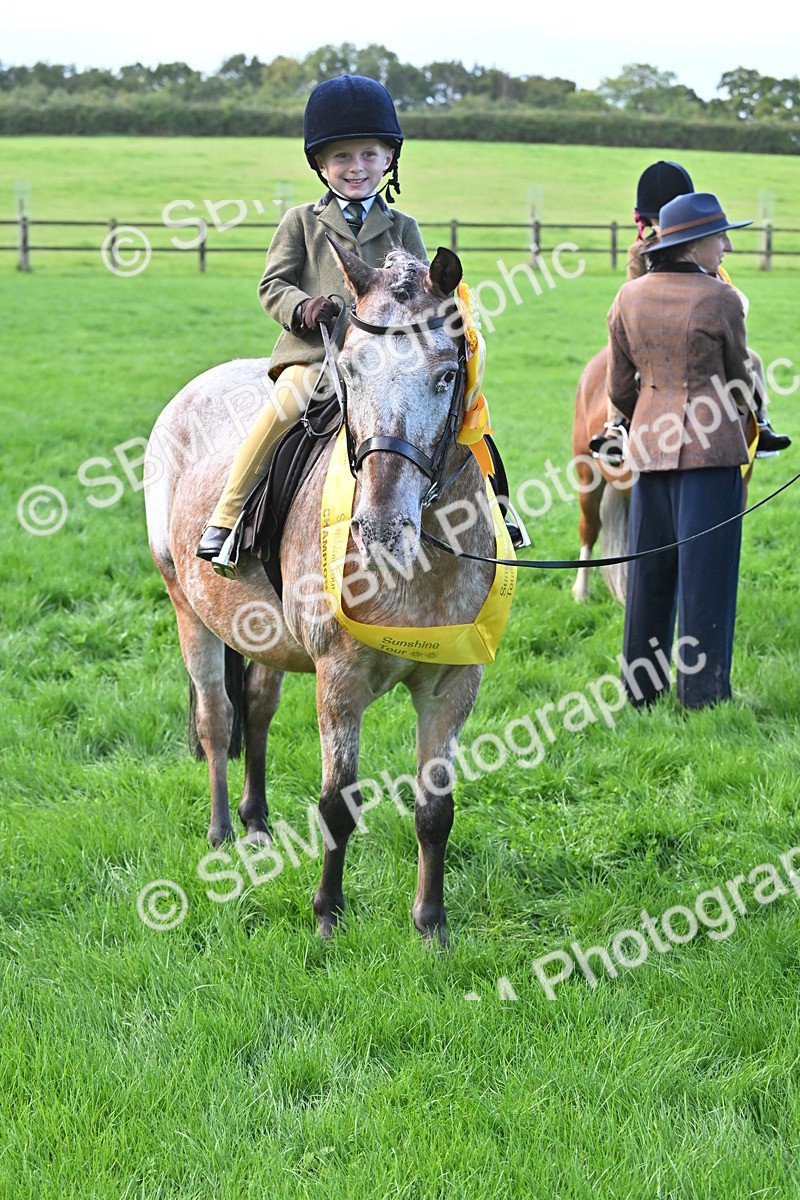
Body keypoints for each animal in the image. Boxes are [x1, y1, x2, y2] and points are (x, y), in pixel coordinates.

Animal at [143, 243, 500, 945]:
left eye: (447, 375)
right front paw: (328, 915)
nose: (381, 529)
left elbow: (435, 809)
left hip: (262, 634)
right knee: (217, 715)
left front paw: (431, 927)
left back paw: (255, 823)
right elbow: (338, 803)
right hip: (188, 611)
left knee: (255, 708)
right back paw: (222, 832)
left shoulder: (452, 683)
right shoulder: (339, 680)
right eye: (352, 374)